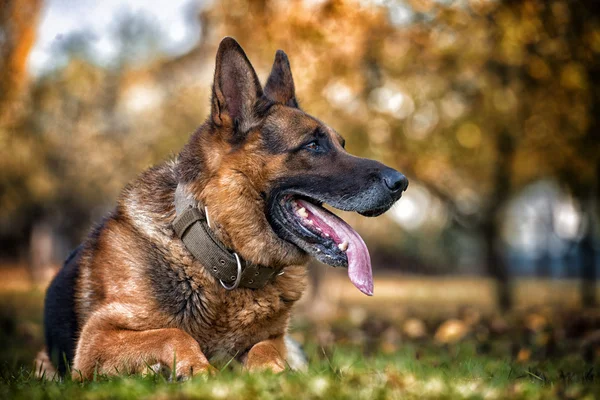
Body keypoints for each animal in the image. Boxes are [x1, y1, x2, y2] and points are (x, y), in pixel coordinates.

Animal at [36, 36, 408, 378]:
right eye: (313, 145)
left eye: (341, 144)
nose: (401, 183)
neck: (220, 253)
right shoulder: (95, 341)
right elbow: (172, 334)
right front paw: (197, 368)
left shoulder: (277, 339)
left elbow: (265, 348)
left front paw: (272, 370)